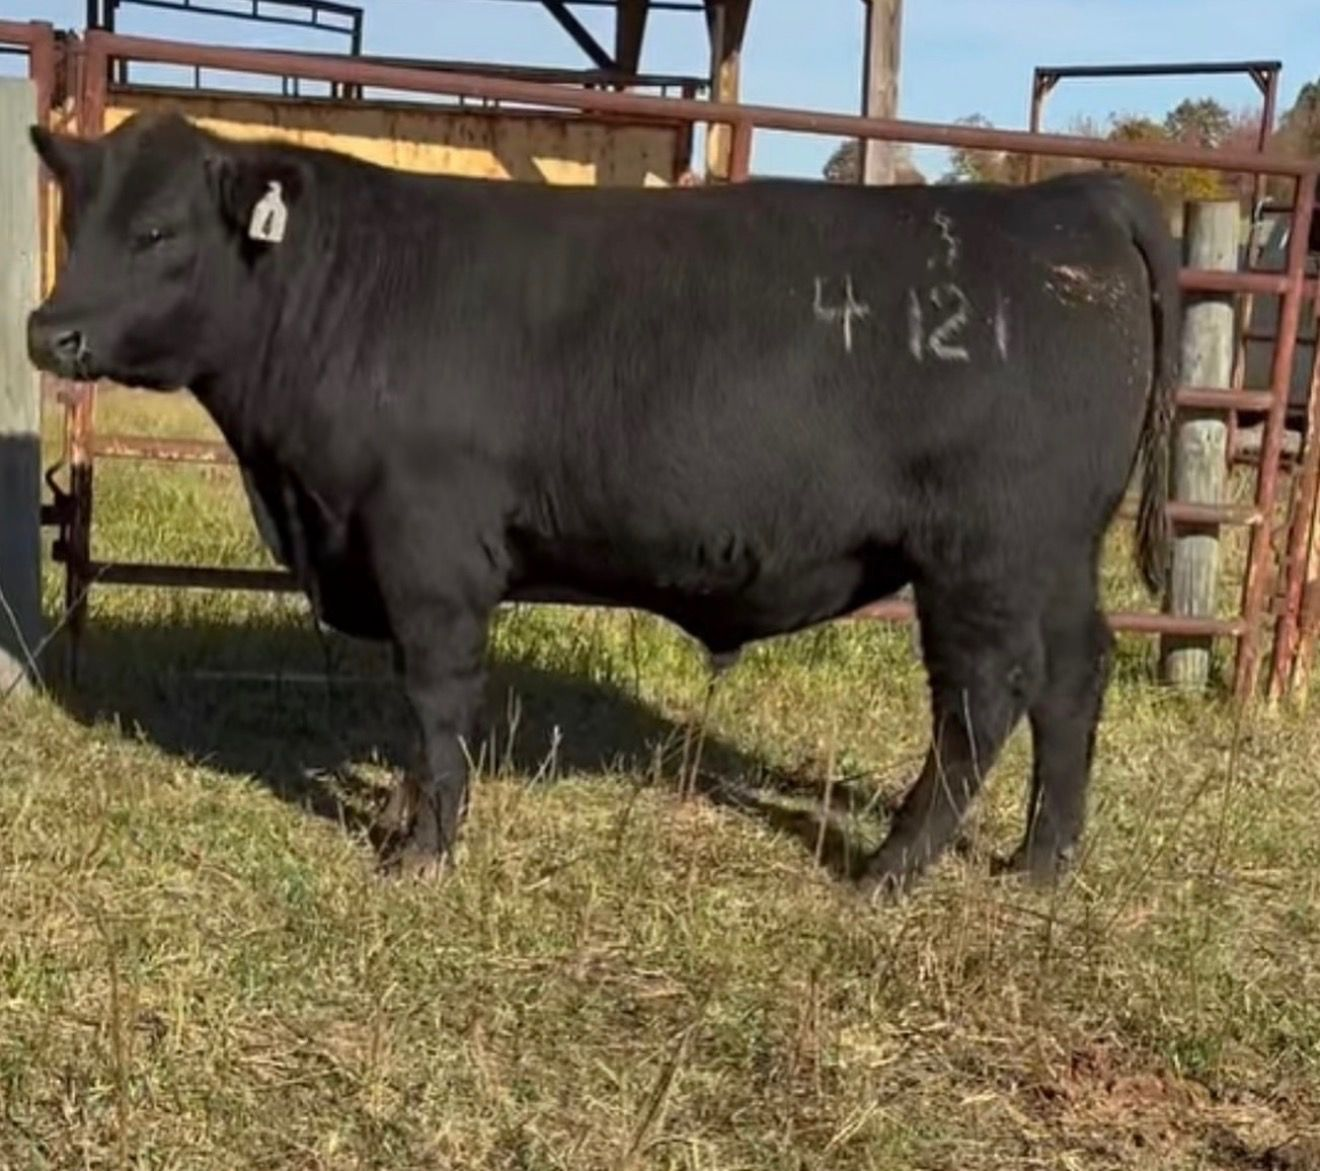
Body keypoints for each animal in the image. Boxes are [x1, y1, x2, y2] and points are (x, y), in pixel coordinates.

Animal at [25, 110, 1179, 897]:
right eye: (79, 220)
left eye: (161, 231)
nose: (49, 332)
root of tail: (1067, 199)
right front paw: (410, 817)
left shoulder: (428, 547)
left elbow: (436, 695)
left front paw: (424, 845)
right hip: (1056, 552)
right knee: (1074, 676)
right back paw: (1039, 860)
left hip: (982, 553)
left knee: (982, 697)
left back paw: (892, 866)